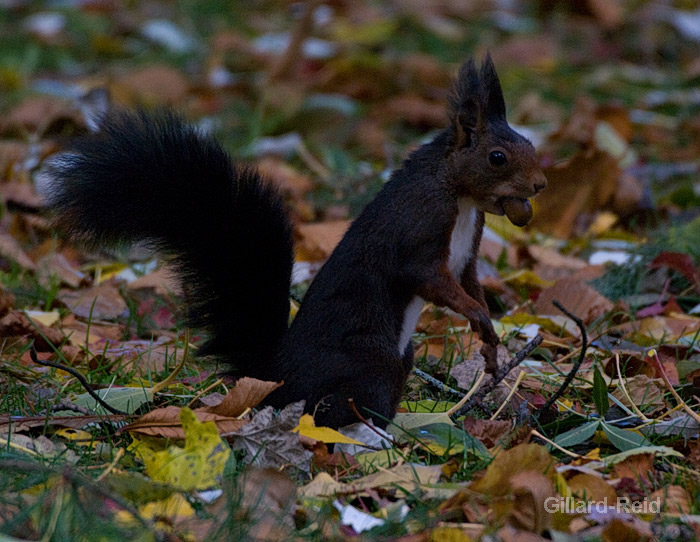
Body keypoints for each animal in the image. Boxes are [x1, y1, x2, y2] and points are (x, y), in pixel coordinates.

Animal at [43, 54, 548, 430]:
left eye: (528, 142)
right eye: (497, 157)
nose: (541, 185)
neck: (457, 193)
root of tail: (277, 378)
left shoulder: (468, 248)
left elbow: (468, 279)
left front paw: (489, 339)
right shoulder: (419, 228)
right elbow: (431, 279)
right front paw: (478, 317)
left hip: (397, 360)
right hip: (369, 362)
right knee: (335, 410)